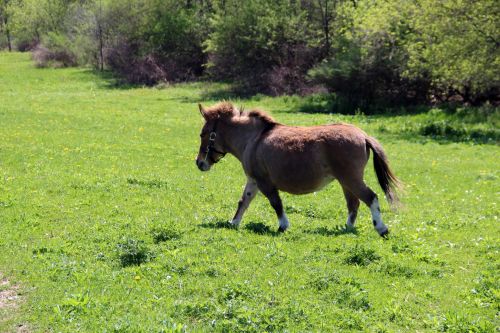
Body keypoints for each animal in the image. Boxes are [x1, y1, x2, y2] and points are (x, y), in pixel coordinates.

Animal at [193, 102, 400, 236]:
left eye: (203, 134)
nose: (199, 163)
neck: (253, 139)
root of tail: (363, 135)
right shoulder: (253, 180)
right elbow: (243, 201)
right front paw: (234, 222)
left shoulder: (264, 182)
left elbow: (276, 203)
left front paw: (283, 226)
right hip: (346, 182)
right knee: (353, 204)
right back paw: (347, 228)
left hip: (351, 179)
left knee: (371, 198)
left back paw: (381, 228)